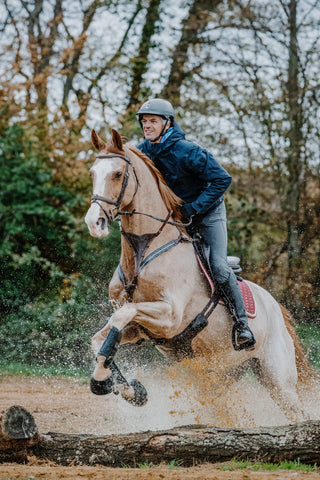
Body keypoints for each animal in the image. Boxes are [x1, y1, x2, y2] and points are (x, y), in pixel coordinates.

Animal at [84, 127, 310, 420]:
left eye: (118, 174)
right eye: (92, 173)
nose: (94, 222)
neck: (144, 249)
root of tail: (276, 307)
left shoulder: (169, 317)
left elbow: (122, 315)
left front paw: (116, 385)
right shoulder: (139, 328)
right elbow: (101, 339)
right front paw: (124, 388)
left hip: (278, 381)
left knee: (297, 412)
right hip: (219, 375)